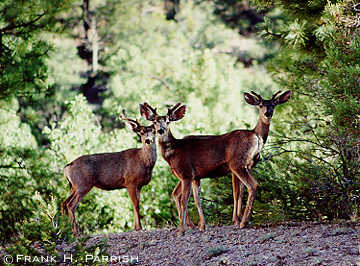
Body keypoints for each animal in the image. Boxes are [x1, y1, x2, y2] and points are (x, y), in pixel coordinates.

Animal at [139, 90, 292, 234]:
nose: (161, 130)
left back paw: (243, 222)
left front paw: (181, 230)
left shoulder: (186, 174)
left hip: (237, 164)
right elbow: (197, 200)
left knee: (253, 185)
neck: (174, 151)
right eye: (154, 121)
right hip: (244, 166)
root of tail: (256, 136)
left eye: (168, 121)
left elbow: (185, 200)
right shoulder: (195, 176)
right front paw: (202, 226)